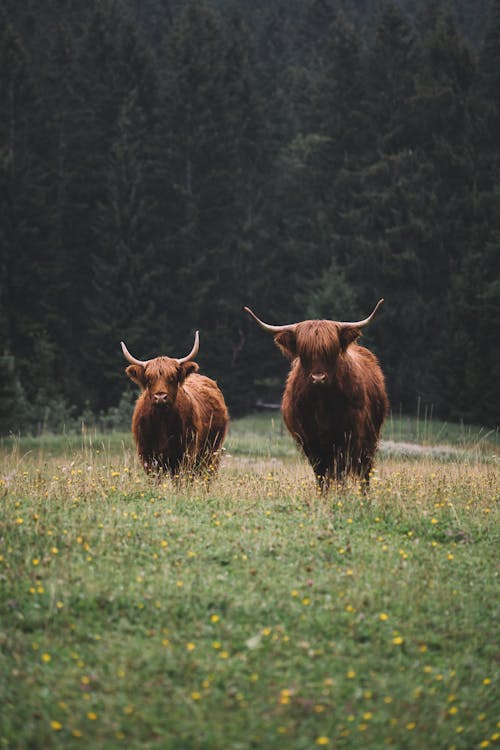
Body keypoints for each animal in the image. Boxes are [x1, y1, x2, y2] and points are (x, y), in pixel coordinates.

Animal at [122, 334, 229, 478]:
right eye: (149, 379)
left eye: (172, 378)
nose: (160, 397)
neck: (162, 421)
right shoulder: (147, 456)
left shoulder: (184, 454)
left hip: (212, 452)